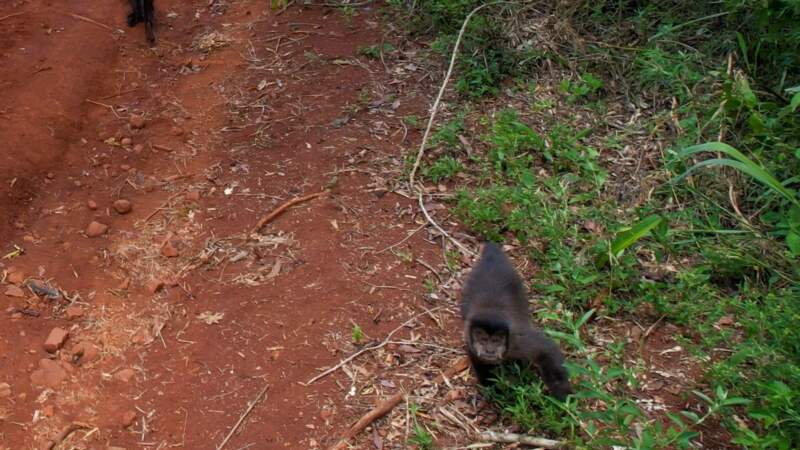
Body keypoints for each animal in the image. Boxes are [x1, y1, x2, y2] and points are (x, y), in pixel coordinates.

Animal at [461, 242, 572, 400]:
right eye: (483, 339)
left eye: (496, 341)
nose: (489, 350)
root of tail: (491, 256)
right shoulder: (470, 341)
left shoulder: (517, 341)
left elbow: (547, 349)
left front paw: (564, 395)